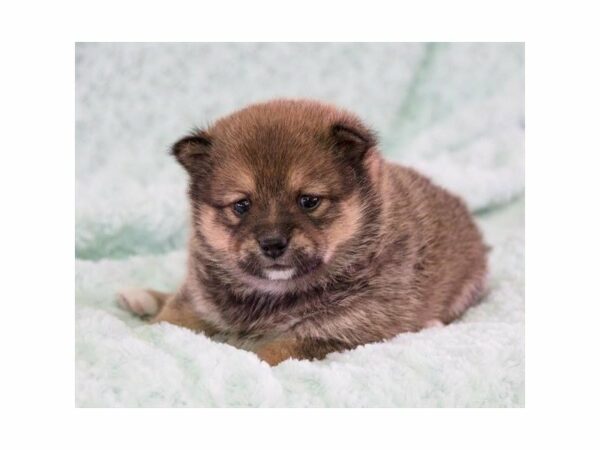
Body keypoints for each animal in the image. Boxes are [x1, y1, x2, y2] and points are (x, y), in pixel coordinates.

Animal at [117, 98, 488, 366]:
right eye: (241, 205)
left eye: (309, 201)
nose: (272, 244)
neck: (271, 293)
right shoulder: (196, 302)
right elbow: (165, 323)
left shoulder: (340, 331)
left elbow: (266, 353)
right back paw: (140, 296)